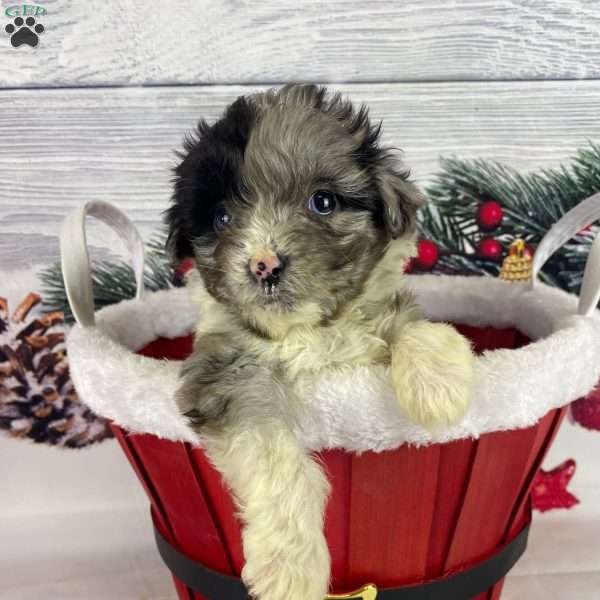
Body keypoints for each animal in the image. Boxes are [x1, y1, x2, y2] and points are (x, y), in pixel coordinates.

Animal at [164, 84, 474, 600]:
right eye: (222, 217)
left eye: (322, 202)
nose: (264, 265)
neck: (308, 331)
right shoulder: (227, 371)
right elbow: (272, 457)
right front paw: (289, 566)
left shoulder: (378, 319)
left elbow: (411, 324)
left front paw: (439, 389)